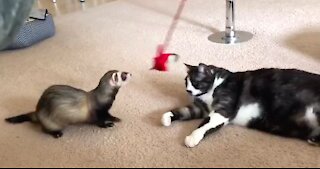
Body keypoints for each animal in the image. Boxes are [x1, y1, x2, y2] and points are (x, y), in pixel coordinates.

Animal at [161, 62, 320, 147]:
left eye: (195, 82)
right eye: (185, 81)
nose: (188, 90)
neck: (216, 83)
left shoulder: (222, 109)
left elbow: (205, 124)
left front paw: (192, 138)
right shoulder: (201, 108)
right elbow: (184, 111)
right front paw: (166, 117)